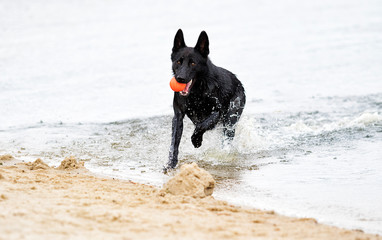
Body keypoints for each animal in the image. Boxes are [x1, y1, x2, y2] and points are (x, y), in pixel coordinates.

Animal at [166, 29, 246, 170]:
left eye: (193, 63)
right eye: (178, 62)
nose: (180, 78)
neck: (196, 93)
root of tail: (238, 81)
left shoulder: (217, 112)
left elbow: (202, 125)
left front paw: (196, 140)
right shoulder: (178, 116)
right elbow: (174, 142)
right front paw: (171, 163)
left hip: (230, 118)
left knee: (226, 138)